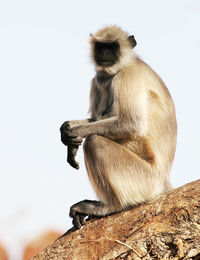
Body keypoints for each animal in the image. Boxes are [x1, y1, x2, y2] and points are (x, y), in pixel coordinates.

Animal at [59, 24, 177, 228]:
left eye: (113, 46)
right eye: (100, 46)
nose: (105, 53)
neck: (122, 66)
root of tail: (163, 181)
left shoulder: (128, 76)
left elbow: (130, 123)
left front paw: (76, 133)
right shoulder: (98, 80)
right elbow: (96, 117)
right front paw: (67, 130)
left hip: (143, 180)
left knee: (95, 142)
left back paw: (109, 206)